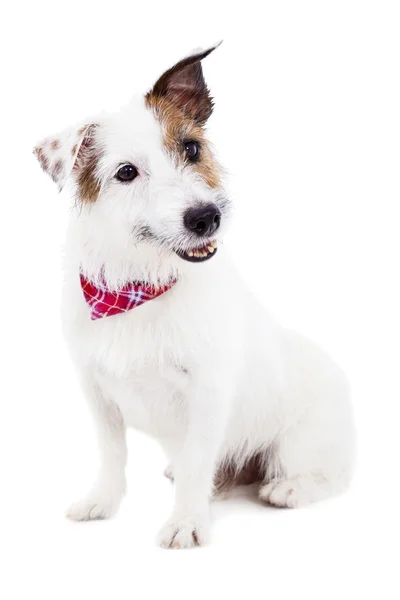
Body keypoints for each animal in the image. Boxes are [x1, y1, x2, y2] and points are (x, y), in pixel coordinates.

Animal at [33, 42, 354, 548]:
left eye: (191, 147)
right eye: (126, 172)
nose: (205, 217)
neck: (141, 287)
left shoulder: (207, 396)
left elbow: (196, 464)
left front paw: (186, 520)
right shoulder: (97, 394)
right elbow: (112, 455)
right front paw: (102, 501)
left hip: (301, 441)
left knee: (329, 476)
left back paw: (289, 488)